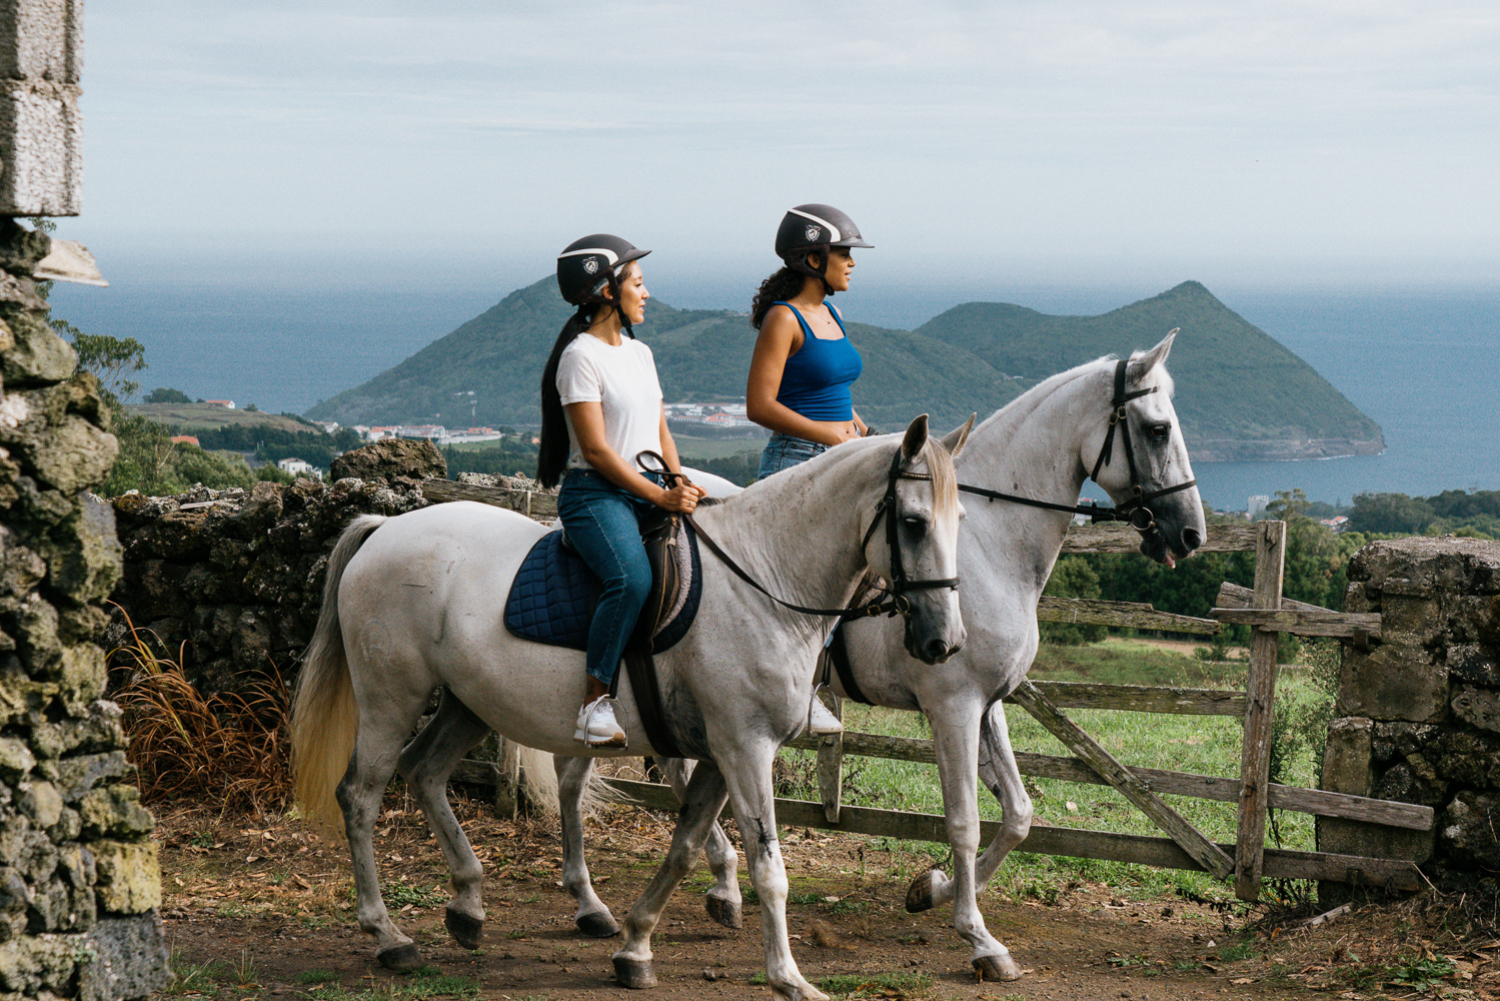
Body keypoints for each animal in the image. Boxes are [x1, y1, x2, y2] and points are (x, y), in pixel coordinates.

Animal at [289, 414, 972, 1001]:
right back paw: (388, 936)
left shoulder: (720, 754)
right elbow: (768, 868)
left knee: (426, 771)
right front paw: (789, 978)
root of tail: (384, 528)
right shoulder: (745, 748)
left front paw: (636, 946)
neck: (765, 580)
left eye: (959, 518)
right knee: (362, 795)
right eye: (914, 522)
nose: (944, 642)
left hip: (468, 703)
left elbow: (685, 846)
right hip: (391, 697)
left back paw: (469, 906)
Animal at [540, 333, 1206, 984]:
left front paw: (930, 890)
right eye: (1157, 429)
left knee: (658, 772)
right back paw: (594, 905)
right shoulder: (952, 705)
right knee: (577, 777)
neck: (989, 547)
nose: (1191, 535)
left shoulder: (988, 701)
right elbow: (964, 820)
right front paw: (977, 937)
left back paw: (712, 891)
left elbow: (1018, 814)